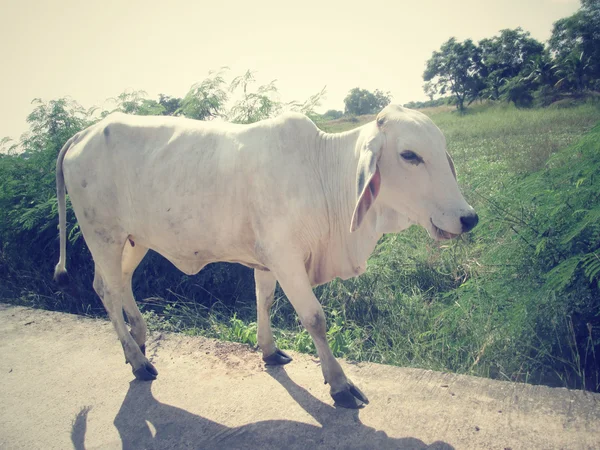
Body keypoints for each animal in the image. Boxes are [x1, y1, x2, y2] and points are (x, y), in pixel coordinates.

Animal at [55, 104, 478, 408]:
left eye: (443, 152)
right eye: (409, 155)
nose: (468, 218)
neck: (323, 176)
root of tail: (84, 133)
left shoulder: (268, 260)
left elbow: (265, 299)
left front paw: (270, 351)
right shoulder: (286, 256)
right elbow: (315, 318)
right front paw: (340, 384)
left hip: (131, 241)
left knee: (115, 283)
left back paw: (139, 342)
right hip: (102, 235)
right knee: (109, 291)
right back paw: (139, 361)